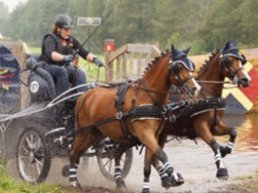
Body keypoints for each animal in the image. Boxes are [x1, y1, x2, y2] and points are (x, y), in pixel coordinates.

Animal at [69, 45, 202, 191]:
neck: (148, 96)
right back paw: (74, 181)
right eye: (178, 67)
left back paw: (118, 181)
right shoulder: (145, 133)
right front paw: (173, 176)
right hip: (83, 132)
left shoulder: (153, 135)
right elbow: (161, 154)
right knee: (74, 154)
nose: (195, 88)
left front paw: (147, 187)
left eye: (191, 65)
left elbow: (148, 165)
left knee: (105, 153)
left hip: (96, 134)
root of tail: (83, 96)